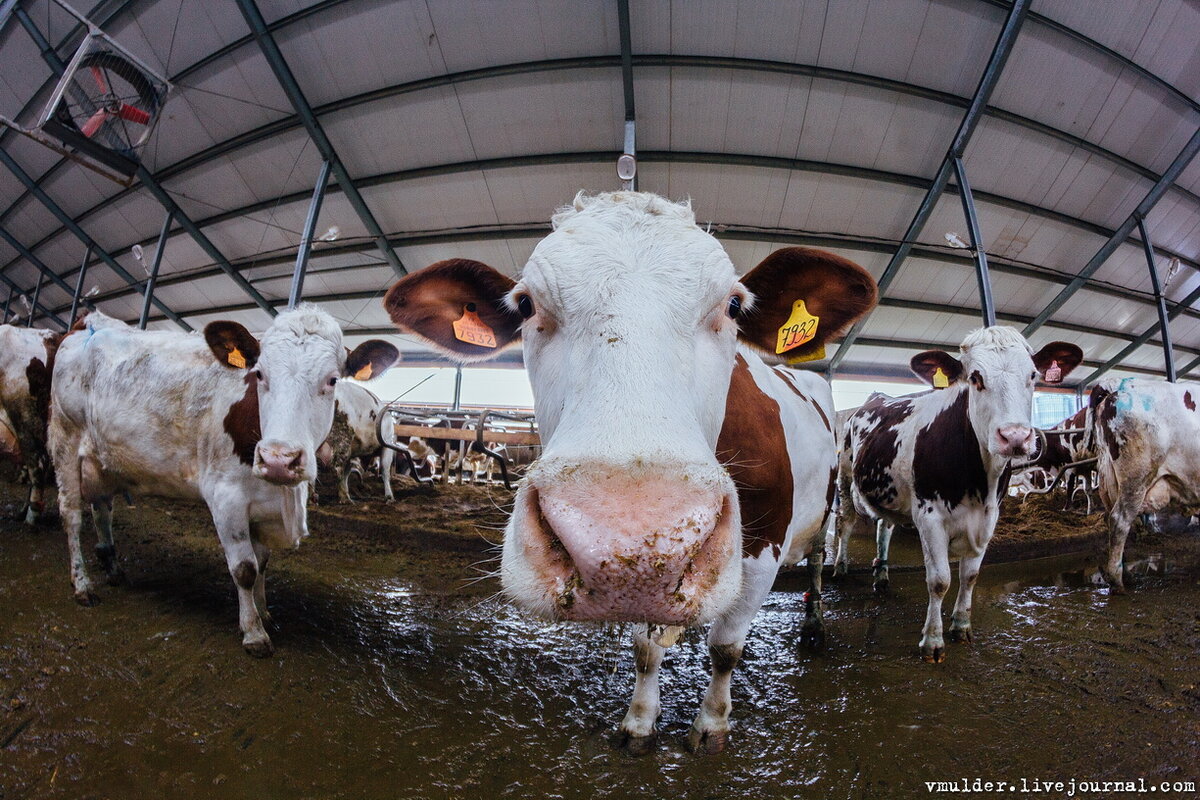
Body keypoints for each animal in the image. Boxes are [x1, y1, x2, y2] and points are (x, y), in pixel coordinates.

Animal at [48, 309, 398, 652]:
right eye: (260, 374)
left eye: (332, 379)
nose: (278, 459)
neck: (283, 499)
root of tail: (88, 323)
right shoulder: (226, 497)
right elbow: (245, 569)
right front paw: (253, 631)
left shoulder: (261, 507)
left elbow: (263, 562)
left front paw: (265, 612)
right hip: (65, 443)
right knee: (72, 516)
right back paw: (82, 585)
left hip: (102, 459)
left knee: (102, 509)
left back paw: (113, 567)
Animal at [379, 190, 878, 753]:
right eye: (525, 304)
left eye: (733, 305)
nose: (624, 540)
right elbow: (645, 649)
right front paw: (639, 721)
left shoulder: (763, 548)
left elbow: (726, 649)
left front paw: (712, 723)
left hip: (825, 505)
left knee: (815, 559)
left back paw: (814, 625)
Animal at [835, 326, 1089, 662]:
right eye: (975, 377)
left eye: (1033, 375)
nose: (1015, 437)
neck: (979, 484)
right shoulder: (929, 516)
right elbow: (940, 580)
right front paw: (932, 641)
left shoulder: (989, 518)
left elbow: (970, 575)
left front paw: (961, 626)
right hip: (844, 476)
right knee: (845, 523)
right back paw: (840, 567)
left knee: (883, 527)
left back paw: (881, 576)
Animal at [1089, 379, 1200, 592]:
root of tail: (1114, 390)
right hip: (1136, 479)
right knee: (1119, 520)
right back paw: (1117, 581)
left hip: (1108, 481)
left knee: (1110, 520)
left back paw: (1126, 576)